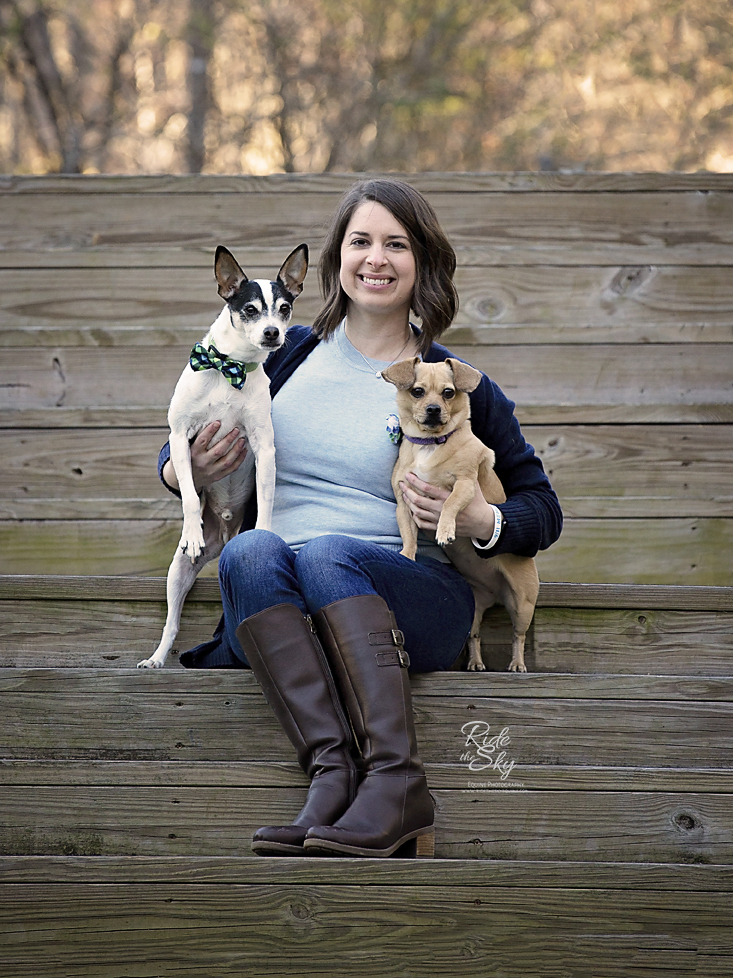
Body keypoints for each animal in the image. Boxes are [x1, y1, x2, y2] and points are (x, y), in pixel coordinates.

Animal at [137, 244, 306, 672]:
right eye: (249, 309)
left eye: (284, 309)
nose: (272, 333)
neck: (232, 369)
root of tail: (226, 536)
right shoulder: (181, 441)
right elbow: (190, 497)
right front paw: (192, 530)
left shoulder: (264, 447)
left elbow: (267, 498)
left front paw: (264, 531)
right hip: (178, 573)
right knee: (172, 622)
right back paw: (158, 658)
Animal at [384, 358, 536, 672]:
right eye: (417, 392)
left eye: (448, 393)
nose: (433, 409)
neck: (430, 445)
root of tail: (494, 593)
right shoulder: (403, 502)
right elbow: (408, 533)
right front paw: (407, 554)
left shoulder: (465, 486)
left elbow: (450, 504)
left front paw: (445, 530)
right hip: (474, 611)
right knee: (474, 636)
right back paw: (476, 662)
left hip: (522, 603)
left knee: (518, 636)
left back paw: (517, 664)